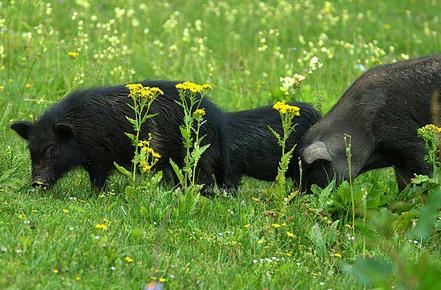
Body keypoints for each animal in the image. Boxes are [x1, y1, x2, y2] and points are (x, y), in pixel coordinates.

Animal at [11, 80, 229, 191]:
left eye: (52, 148)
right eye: (30, 150)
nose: (37, 183)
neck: (80, 130)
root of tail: (218, 119)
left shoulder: (100, 155)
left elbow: (98, 177)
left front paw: (96, 195)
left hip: (195, 154)